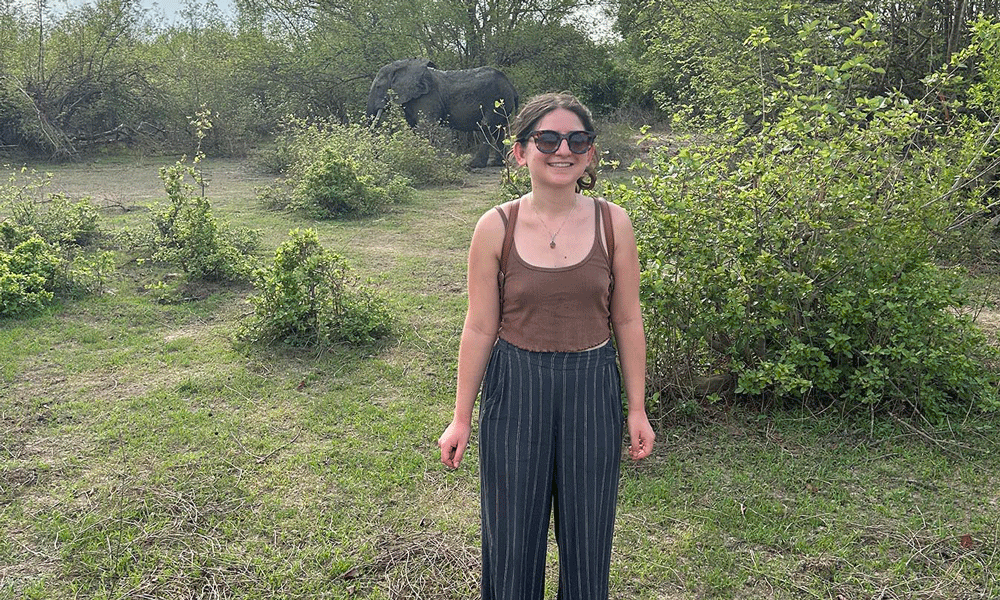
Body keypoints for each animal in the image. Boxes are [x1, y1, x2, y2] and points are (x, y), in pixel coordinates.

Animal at [370, 58, 524, 168]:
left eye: (378, 87)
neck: (402, 65)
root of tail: (512, 87)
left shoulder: (427, 97)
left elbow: (425, 127)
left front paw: (426, 159)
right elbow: (414, 127)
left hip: (495, 100)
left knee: (486, 126)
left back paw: (473, 165)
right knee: (498, 130)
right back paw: (497, 164)